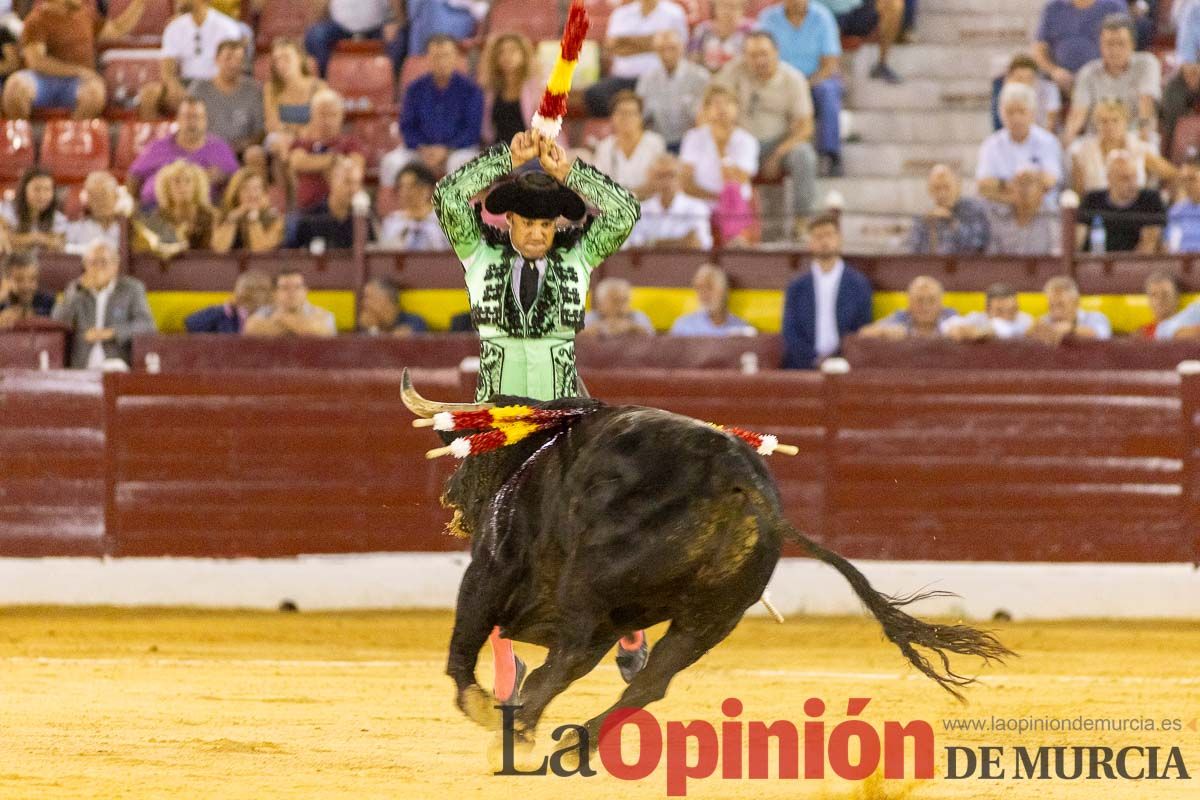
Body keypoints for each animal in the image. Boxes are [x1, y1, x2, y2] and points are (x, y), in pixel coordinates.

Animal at [403, 371, 1012, 753]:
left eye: (468, 456)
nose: (451, 496)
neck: (535, 455)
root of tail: (741, 480)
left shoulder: (491, 567)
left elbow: (463, 643)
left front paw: (482, 705)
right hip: (712, 617)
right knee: (647, 682)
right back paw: (572, 739)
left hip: (592, 586)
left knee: (573, 657)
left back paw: (520, 727)